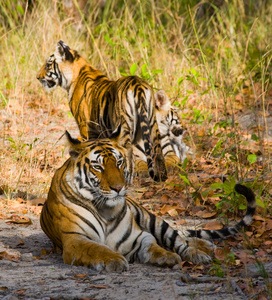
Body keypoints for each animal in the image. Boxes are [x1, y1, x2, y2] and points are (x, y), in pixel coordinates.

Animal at [36, 41, 168, 184]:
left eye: (48, 65)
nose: (38, 77)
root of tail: (137, 84)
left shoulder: (85, 127)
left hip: (125, 127)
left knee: (129, 157)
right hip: (152, 124)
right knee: (158, 153)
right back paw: (163, 178)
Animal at [39, 129, 255, 272]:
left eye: (119, 162)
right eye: (98, 167)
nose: (119, 188)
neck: (105, 210)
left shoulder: (138, 235)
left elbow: (153, 245)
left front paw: (167, 256)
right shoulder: (75, 239)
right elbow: (96, 248)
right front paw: (114, 260)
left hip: (151, 218)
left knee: (178, 238)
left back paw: (200, 251)